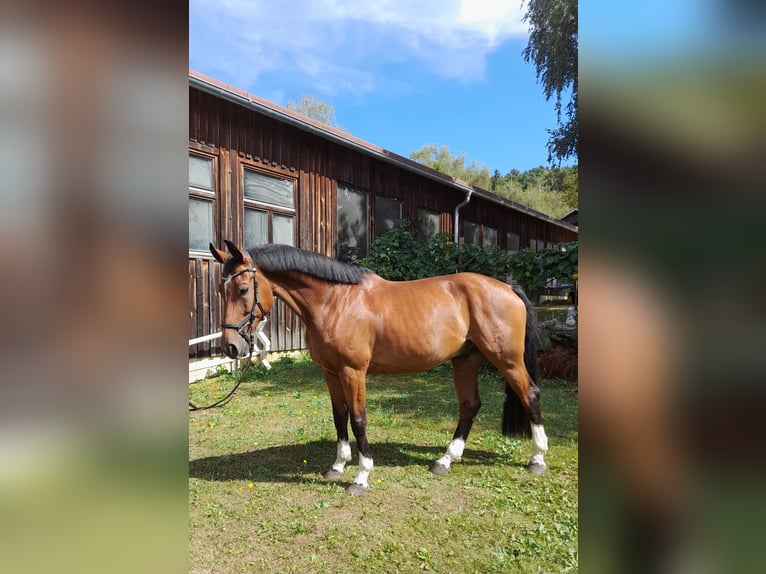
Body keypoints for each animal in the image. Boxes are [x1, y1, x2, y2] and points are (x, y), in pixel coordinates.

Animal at [207, 241, 548, 498]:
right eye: (221, 291)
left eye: (242, 289)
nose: (231, 348)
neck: (335, 300)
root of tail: (507, 287)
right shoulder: (330, 372)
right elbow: (339, 416)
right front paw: (337, 466)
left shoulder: (353, 371)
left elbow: (358, 420)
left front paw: (361, 476)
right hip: (466, 360)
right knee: (470, 405)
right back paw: (445, 460)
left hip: (507, 360)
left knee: (530, 394)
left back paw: (538, 457)